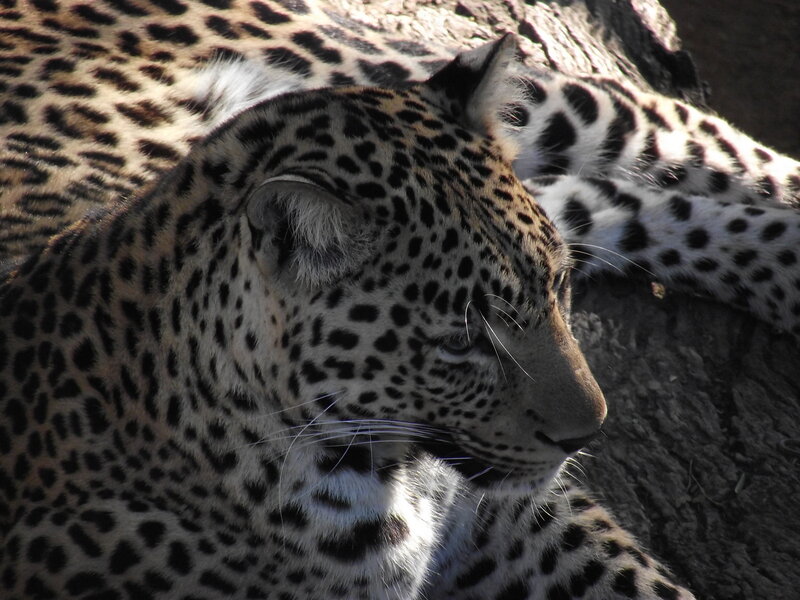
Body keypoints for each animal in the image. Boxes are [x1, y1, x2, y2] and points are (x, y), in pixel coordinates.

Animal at [1, 1, 800, 599]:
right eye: (460, 340)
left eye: (558, 287)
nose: (586, 435)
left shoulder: (520, 516)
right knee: (609, 199)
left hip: (385, 66)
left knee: (668, 125)